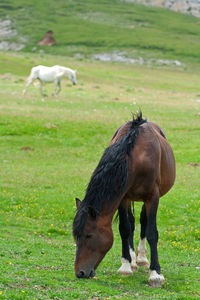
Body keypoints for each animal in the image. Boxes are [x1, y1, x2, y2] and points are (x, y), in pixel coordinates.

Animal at [72, 113, 176, 288]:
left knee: (143, 221)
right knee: (132, 223)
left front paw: (155, 274)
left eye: (89, 235)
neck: (136, 158)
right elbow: (125, 229)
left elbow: (152, 232)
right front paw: (126, 266)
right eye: (76, 236)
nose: (80, 273)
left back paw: (142, 259)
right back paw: (133, 260)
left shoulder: (152, 197)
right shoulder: (123, 197)